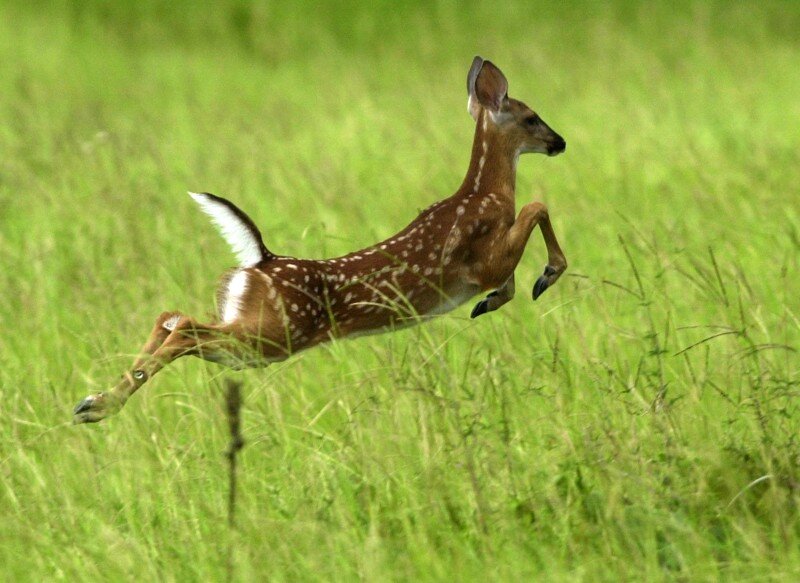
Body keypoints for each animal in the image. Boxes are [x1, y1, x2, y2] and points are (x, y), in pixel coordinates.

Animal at [72, 57, 564, 424]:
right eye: (531, 116)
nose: (558, 142)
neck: (485, 193)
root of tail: (261, 259)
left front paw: (499, 299)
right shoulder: (481, 260)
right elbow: (536, 207)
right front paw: (542, 277)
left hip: (249, 335)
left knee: (170, 316)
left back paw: (93, 401)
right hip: (273, 336)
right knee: (186, 327)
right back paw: (100, 405)